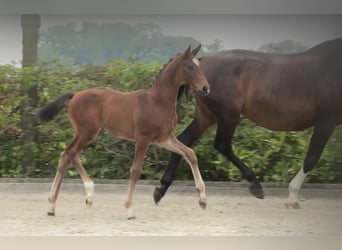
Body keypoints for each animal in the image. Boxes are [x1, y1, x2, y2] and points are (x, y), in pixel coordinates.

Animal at [36, 45, 210, 219]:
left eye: (199, 66)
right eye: (189, 66)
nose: (205, 88)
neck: (157, 101)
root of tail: (74, 95)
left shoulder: (163, 138)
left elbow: (190, 154)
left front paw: (203, 200)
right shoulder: (143, 138)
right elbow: (136, 170)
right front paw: (129, 209)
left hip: (83, 133)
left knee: (67, 155)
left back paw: (57, 205)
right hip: (87, 132)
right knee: (70, 153)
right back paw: (79, 197)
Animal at [155, 37, 342, 209]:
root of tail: (203, 60)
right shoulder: (326, 121)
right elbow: (311, 159)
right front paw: (292, 198)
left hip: (206, 116)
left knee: (184, 140)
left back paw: (161, 189)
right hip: (228, 115)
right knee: (222, 145)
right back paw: (255, 186)